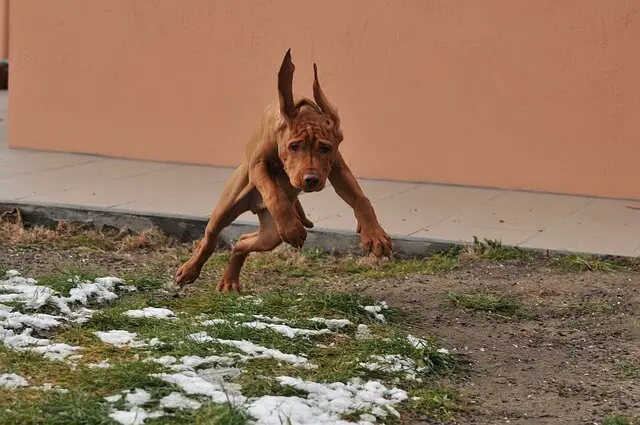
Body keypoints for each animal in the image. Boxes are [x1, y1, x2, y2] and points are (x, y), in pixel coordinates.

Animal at [178, 47, 392, 292]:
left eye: (325, 148)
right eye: (294, 146)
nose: (311, 179)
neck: (305, 111)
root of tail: (256, 207)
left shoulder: (338, 169)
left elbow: (361, 199)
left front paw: (375, 235)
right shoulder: (258, 164)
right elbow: (273, 192)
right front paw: (291, 227)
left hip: (271, 235)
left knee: (242, 242)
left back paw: (230, 281)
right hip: (228, 207)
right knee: (210, 237)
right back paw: (190, 270)